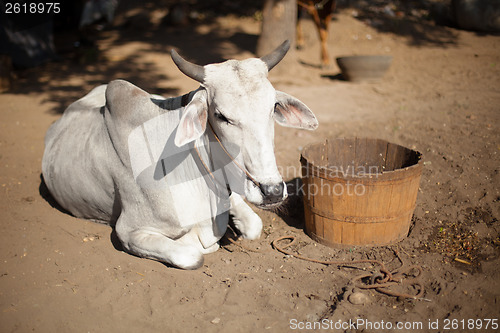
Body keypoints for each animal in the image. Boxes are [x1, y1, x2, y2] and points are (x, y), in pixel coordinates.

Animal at [41, 42, 318, 270]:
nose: (272, 191)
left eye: (272, 108)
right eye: (221, 116)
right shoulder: (129, 231)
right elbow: (193, 254)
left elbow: (253, 226)